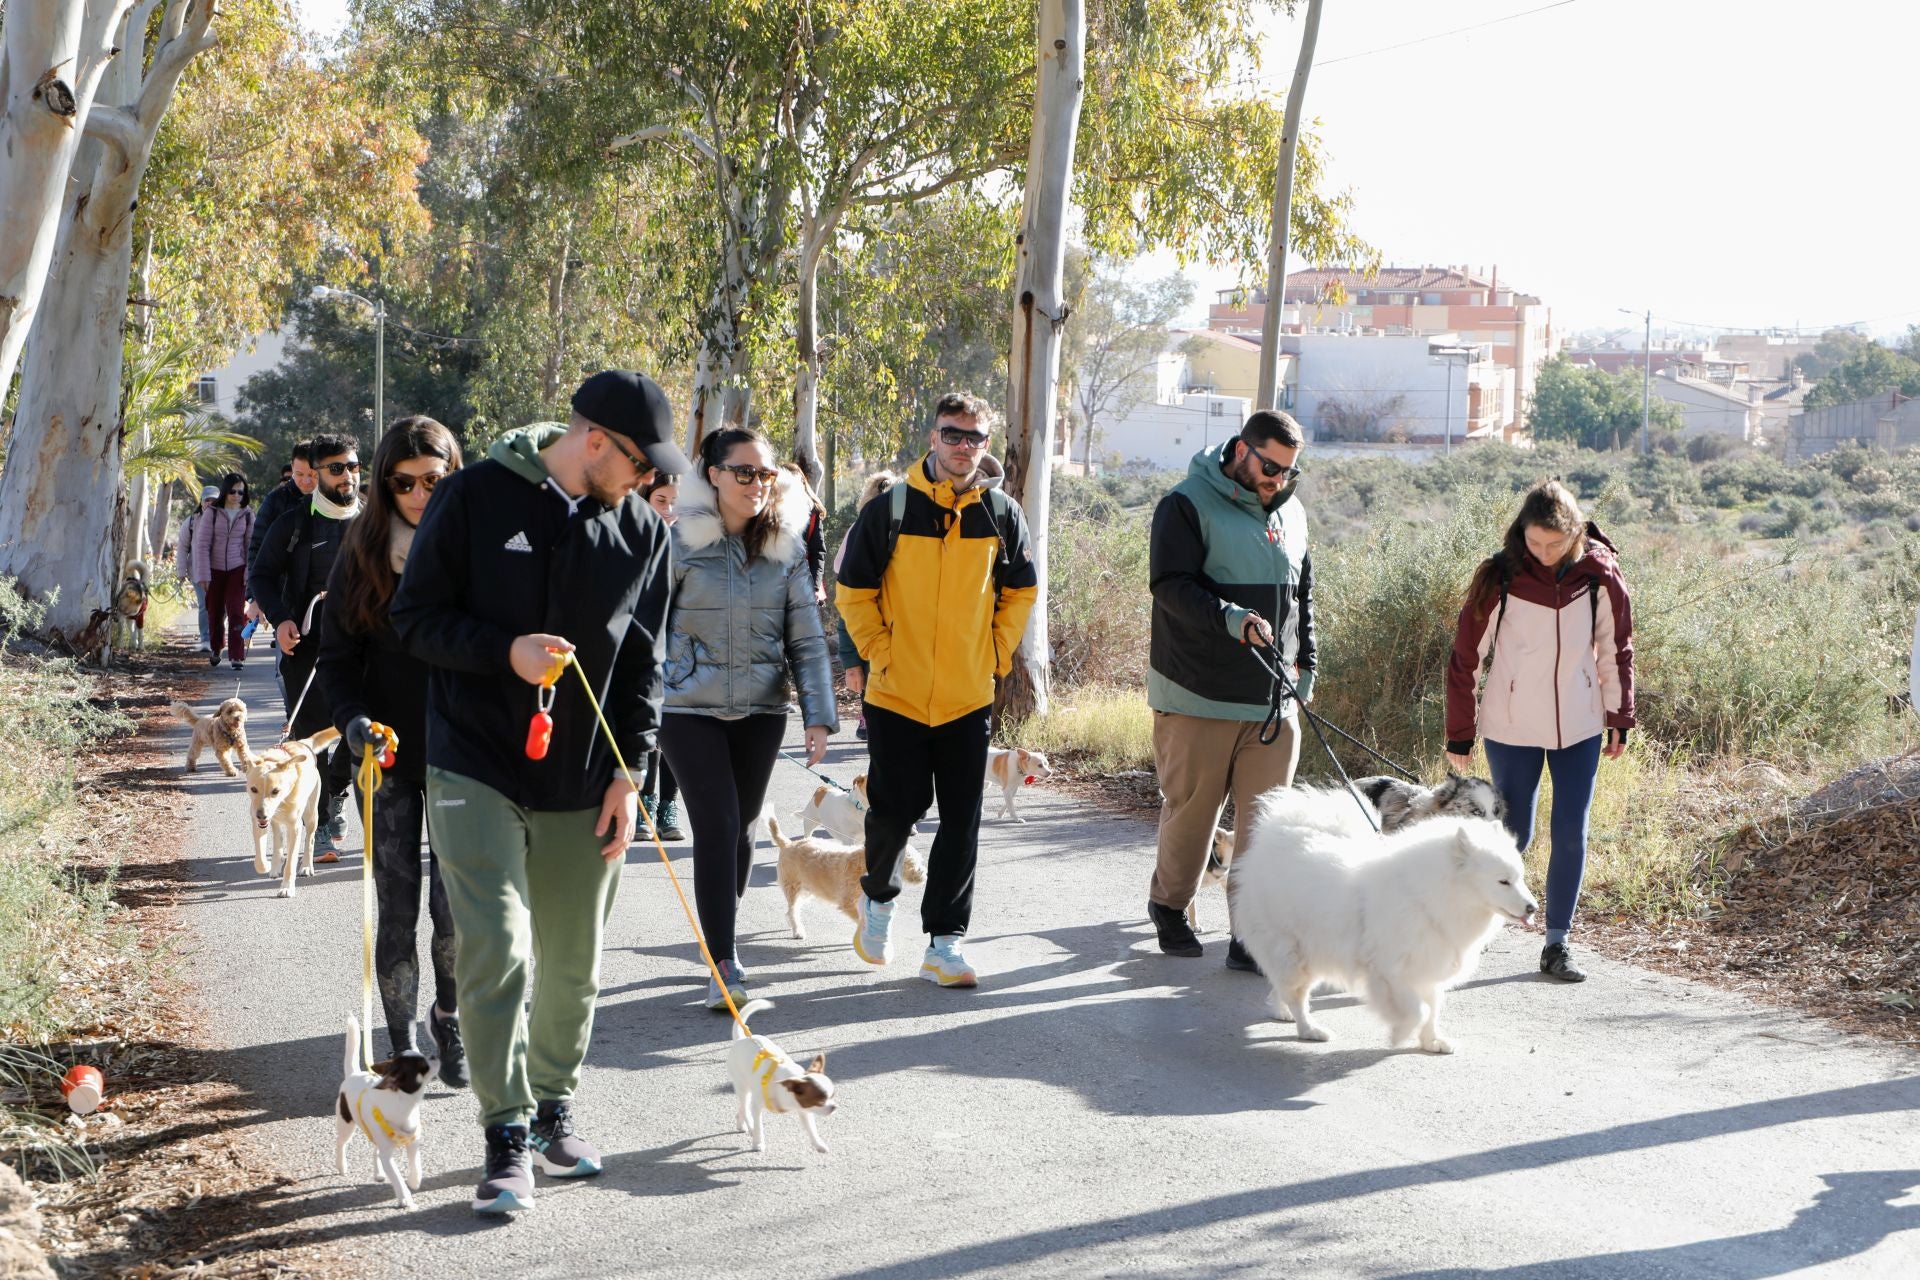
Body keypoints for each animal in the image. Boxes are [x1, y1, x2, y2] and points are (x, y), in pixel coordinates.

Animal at [334, 1013, 435, 1212]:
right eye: (423, 1065)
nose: (435, 1055)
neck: (405, 1105)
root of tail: (354, 1074)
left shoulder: (413, 1143)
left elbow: (415, 1162)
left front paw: (414, 1180)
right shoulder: (388, 1155)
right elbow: (396, 1177)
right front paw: (405, 1198)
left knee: (376, 1150)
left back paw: (379, 1173)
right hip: (346, 1123)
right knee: (341, 1143)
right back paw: (341, 1165)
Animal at [725, 997, 833, 1159]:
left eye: (833, 1096)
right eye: (820, 1101)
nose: (834, 1107)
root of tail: (741, 1039)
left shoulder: (803, 1110)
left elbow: (811, 1129)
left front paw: (818, 1144)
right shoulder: (757, 1106)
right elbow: (758, 1125)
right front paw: (758, 1143)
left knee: (742, 1108)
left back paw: (740, 1123)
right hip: (742, 1086)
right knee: (745, 1106)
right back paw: (749, 1127)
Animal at [764, 809, 921, 940]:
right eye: (909, 862)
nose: (923, 876)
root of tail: (788, 844)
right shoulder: (848, 903)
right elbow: (861, 920)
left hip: (807, 890)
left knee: (791, 911)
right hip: (793, 889)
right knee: (793, 910)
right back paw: (797, 930)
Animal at [1228, 786, 1543, 1059]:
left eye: (1520, 878)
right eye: (1503, 881)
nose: (1534, 907)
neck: (1427, 896)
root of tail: (1272, 838)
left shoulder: (1430, 966)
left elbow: (1433, 1009)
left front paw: (1432, 1041)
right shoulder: (1391, 971)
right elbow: (1419, 1011)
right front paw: (1400, 1033)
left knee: (1282, 986)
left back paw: (1281, 1011)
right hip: (1293, 951)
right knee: (1296, 994)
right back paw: (1309, 1029)